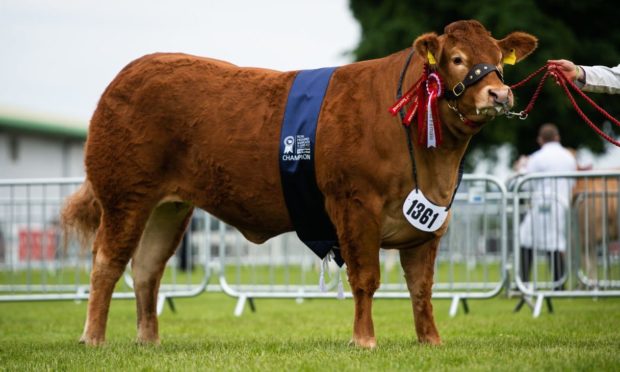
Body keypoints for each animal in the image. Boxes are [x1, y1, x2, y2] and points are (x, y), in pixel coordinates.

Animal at [61, 20, 536, 348]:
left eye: (498, 58)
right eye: (456, 59)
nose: (499, 94)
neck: (434, 160)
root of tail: (131, 72)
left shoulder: (430, 221)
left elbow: (422, 287)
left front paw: (430, 341)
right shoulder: (354, 205)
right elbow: (366, 278)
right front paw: (364, 340)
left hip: (169, 207)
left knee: (146, 268)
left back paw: (148, 340)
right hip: (125, 195)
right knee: (107, 262)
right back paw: (94, 338)